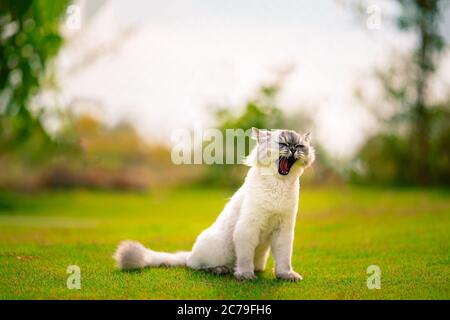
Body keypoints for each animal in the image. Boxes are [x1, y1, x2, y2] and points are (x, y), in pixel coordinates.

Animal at [113, 127, 316, 280]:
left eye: (299, 146)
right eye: (283, 144)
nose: (293, 149)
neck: (278, 185)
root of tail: (190, 253)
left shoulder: (284, 231)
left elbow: (283, 260)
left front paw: (286, 276)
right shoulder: (248, 228)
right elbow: (244, 259)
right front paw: (245, 275)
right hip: (219, 249)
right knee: (196, 265)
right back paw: (222, 270)